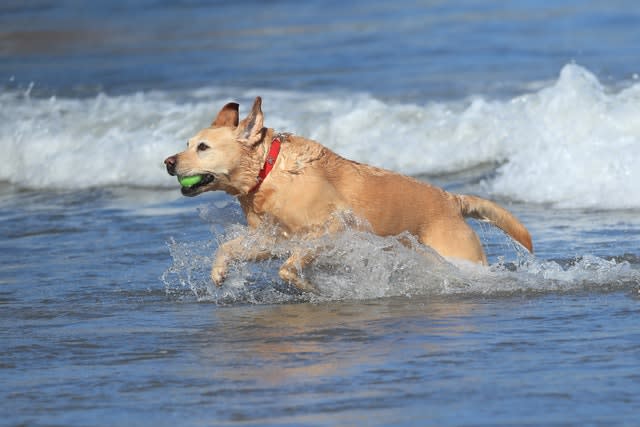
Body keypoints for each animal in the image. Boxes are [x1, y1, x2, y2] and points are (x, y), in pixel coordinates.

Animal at [164, 96, 528, 294]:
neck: (269, 171)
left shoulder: (331, 230)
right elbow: (228, 248)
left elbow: (289, 268)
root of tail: (452, 199)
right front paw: (219, 273)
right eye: (186, 144)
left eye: (202, 147)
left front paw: (310, 286)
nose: (168, 162)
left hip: (458, 255)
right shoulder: (273, 238)